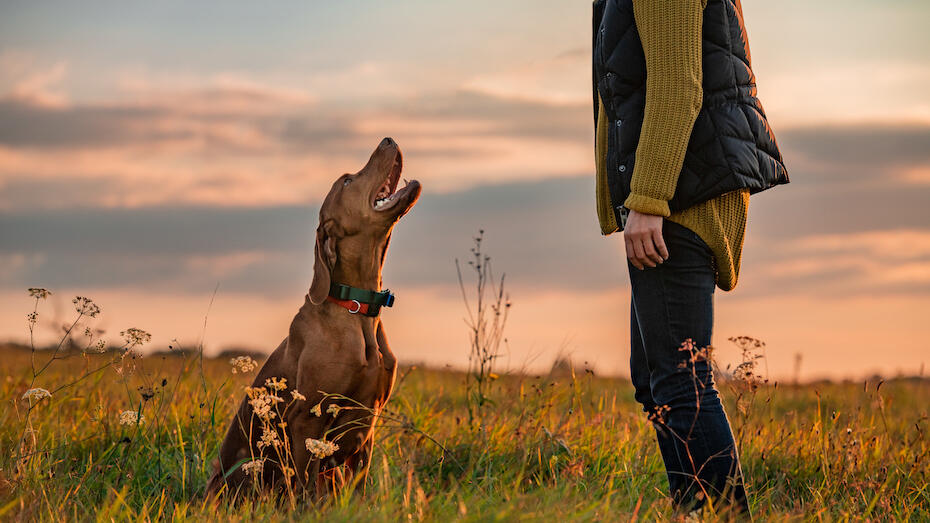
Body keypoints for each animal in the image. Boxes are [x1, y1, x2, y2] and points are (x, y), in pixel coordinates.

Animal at [207, 137, 420, 498]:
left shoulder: (367, 424)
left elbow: (358, 488)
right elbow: (304, 490)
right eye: (347, 181)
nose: (388, 139)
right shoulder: (307, 419)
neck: (357, 308)